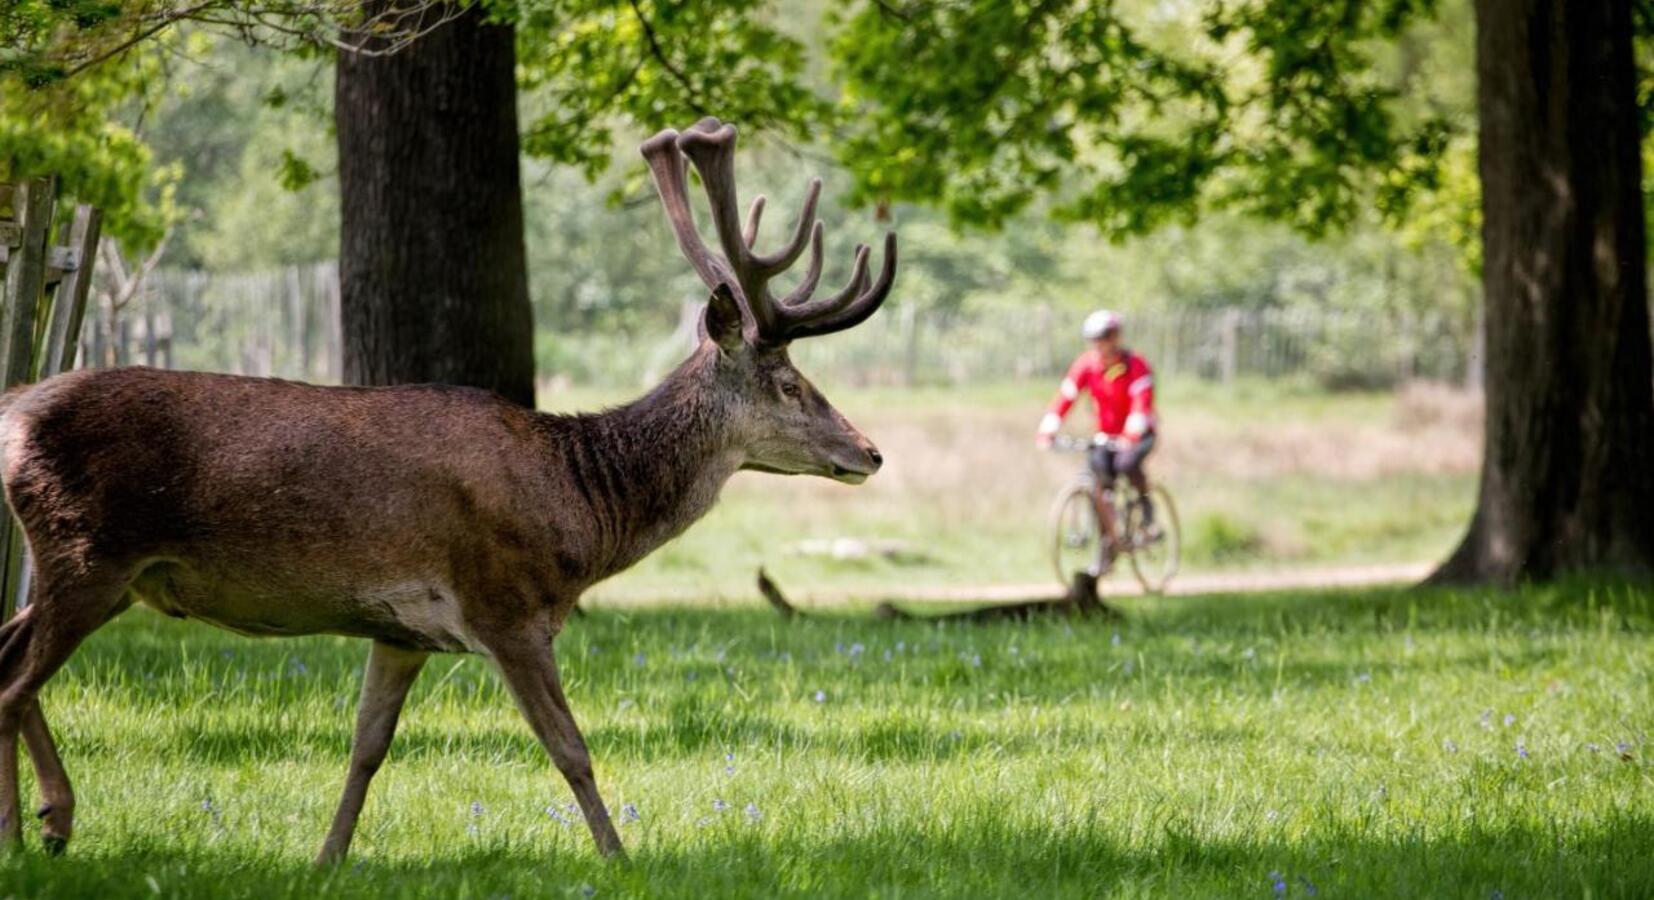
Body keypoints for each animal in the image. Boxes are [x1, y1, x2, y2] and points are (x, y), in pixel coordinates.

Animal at [0, 115, 893, 860]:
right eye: (789, 384)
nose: (871, 452)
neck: (577, 511)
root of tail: (13, 411)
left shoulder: (399, 631)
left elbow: (366, 749)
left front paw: (327, 860)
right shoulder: (506, 606)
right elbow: (571, 748)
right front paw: (620, 858)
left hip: (93, 569)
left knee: (8, 653)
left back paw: (51, 821)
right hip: (87, 551)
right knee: (11, 684)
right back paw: (33, 829)